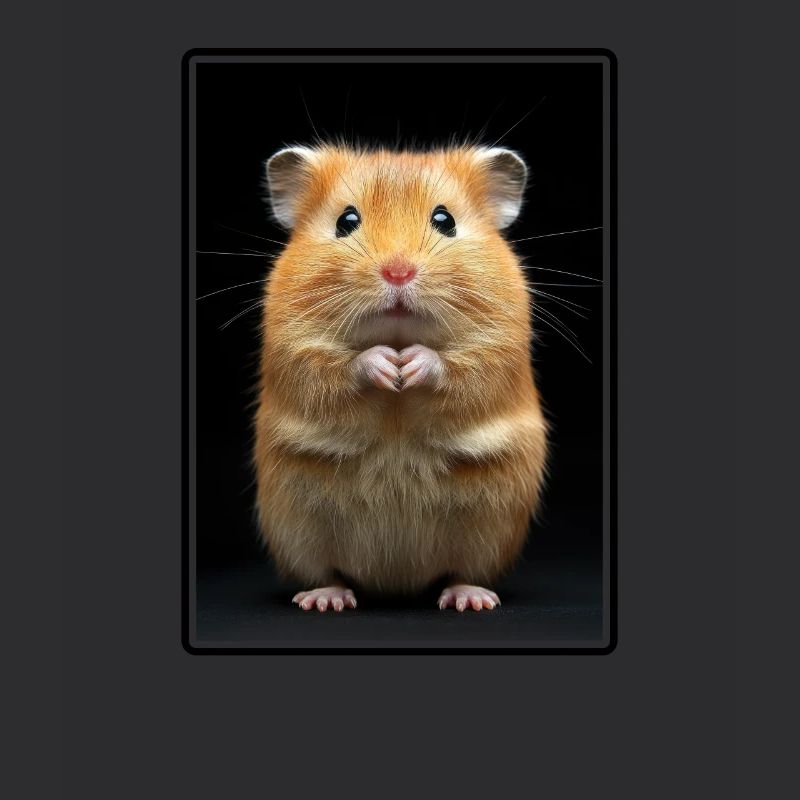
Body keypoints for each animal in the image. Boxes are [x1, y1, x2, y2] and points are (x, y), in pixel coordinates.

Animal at [254, 144, 548, 612]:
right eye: (346, 221)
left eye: (444, 220)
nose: (397, 272)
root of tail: (395, 585)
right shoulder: (293, 346)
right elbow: (331, 367)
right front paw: (386, 367)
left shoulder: (499, 347)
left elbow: (465, 368)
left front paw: (409, 365)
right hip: (296, 527)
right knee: (327, 573)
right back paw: (326, 599)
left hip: (491, 527)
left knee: (462, 572)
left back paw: (470, 599)